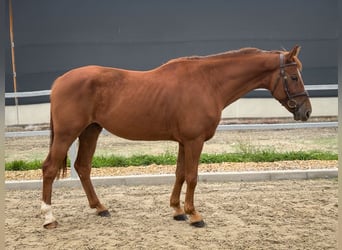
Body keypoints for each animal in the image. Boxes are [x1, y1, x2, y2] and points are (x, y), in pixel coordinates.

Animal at [41, 45, 312, 229]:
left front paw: (177, 210)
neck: (208, 83)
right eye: (294, 77)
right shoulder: (194, 141)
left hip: (91, 131)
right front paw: (194, 215)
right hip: (67, 134)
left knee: (83, 167)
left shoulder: (184, 142)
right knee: (50, 168)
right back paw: (49, 217)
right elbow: (192, 177)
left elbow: (180, 174)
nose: (306, 111)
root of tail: (59, 81)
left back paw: (100, 208)